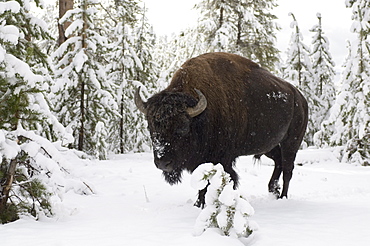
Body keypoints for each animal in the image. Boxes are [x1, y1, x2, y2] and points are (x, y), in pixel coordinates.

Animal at [134, 52, 308, 208]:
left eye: (183, 127)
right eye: (150, 126)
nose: (163, 162)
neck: (201, 117)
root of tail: (300, 97)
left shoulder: (222, 159)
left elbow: (219, 181)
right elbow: (202, 183)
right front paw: (198, 204)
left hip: (291, 143)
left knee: (287, 169)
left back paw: (283, 197)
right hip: (269, 146)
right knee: (278, 162)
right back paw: (273, 190)